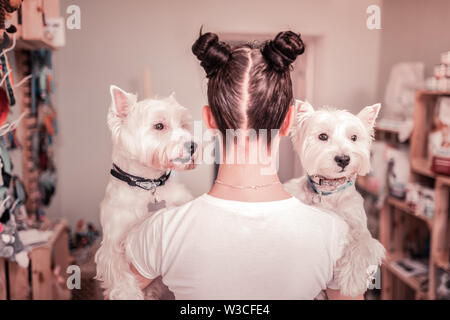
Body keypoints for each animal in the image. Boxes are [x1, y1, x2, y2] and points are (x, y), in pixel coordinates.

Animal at [96, 85, 196, 300]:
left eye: (183, 125)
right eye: (159, 126)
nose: (193, 146)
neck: (148, 184)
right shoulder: (111, 245)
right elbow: (120, 275)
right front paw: (128, 293)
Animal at [284, 100, 386, 298]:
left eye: (354, 137)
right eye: (323, 136)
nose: (343, 159)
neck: (329, 190)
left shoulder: (361, 229)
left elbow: (361, 246)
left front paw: (352, 282)